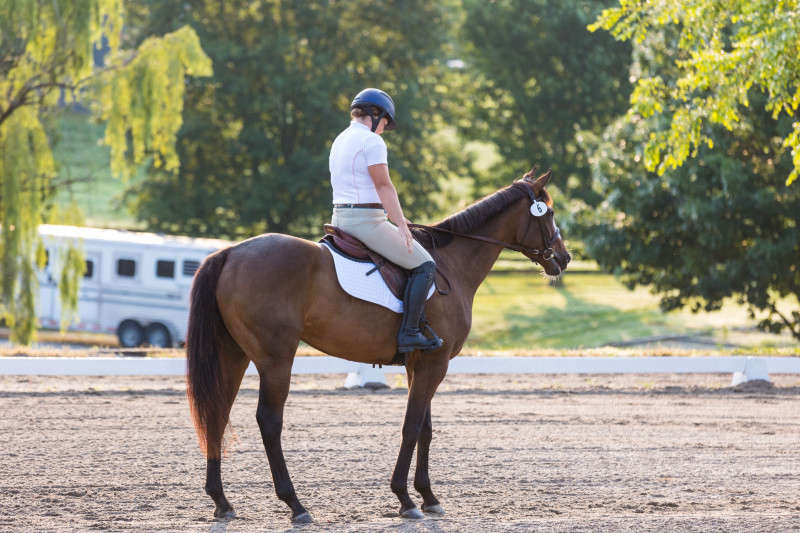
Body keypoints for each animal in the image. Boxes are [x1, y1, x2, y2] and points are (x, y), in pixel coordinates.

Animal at [187, 167, 568, 524]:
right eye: (548, 213)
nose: (564, 258)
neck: (452, 265)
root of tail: (230, 253)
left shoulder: (421, 363)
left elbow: (425, 429)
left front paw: (429, 497)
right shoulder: (436, 363)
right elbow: (411, 427)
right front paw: (405, 499)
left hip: (234, 354)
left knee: (217, 412)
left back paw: (222, 503)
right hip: (276, 358)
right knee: (269, 420)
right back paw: (295, 505)